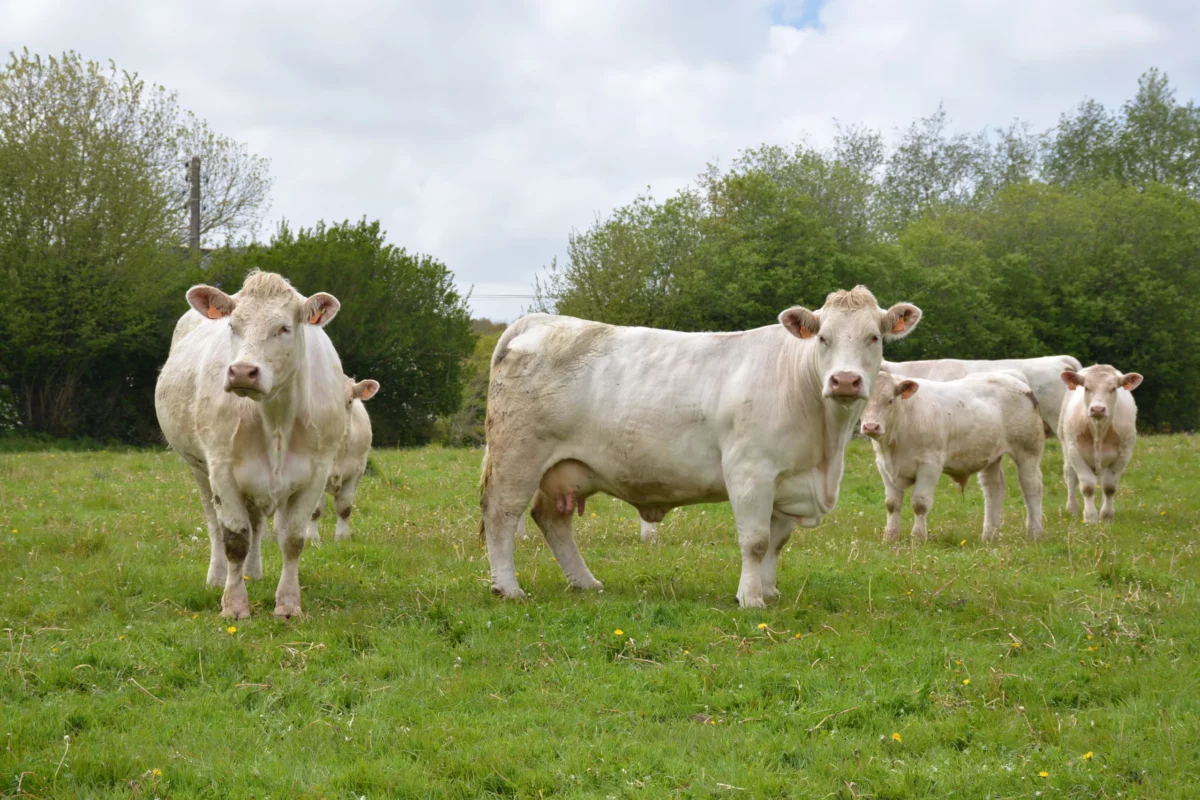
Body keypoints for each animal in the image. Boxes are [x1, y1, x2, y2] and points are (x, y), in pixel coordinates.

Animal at [156, 268, 348, 618]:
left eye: (284, 328)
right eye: (233, 326)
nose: (243, 372)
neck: (276, 419)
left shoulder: (316, 473)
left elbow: (292, 539)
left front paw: (288, 604)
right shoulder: (222, 470)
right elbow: (234, 539)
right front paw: (234, 605)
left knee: (257, 525)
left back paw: (254, 572)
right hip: (199, 469)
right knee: (215, 525)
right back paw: (217, 577)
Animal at [309, 376, 379, 544]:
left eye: (350, 401)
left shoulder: (355, 473)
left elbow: (344, 508)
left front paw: (342, 537)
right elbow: (315, 509)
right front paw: (312, 537)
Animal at [475, 287, 916, 606]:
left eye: (873, 337)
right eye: (823, 338)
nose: (845, 380)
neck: (825, 451)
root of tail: (541, 321)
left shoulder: (788, 479)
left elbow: (776, 542)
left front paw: (769, 591)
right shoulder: (750, 472)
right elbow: (755, 541)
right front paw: (751, 598)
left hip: (564, 469)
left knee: (552, 519)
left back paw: (585, 582)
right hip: (518, 456)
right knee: (501, 516)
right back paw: (508, 588)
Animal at [859, 371, 1046, 542]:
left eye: (890, 400)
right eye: (863, 401)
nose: (871, 427)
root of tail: (1012, 377)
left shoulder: (930, 464)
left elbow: (920, 503)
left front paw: (918, 538)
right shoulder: (884, 465)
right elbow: (892, 504)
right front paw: (889, 537)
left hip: (1028, 450)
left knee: (1031, 485)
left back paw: (1034, 534)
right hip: (991, 455)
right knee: (994, 489)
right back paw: (989, 536)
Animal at [1060, 364, 1142, 525]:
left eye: (1113, 388)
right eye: (1086, 388)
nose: (1097, 409)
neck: (1098, 430)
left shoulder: (1124, 454)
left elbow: (1109, 487)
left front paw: (1106, 516)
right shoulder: (1075, 452)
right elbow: (1087, 487)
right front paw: (1090, 517)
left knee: (1104, 480)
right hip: (1065, 445)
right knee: (1070, 475)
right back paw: (1072, 509)